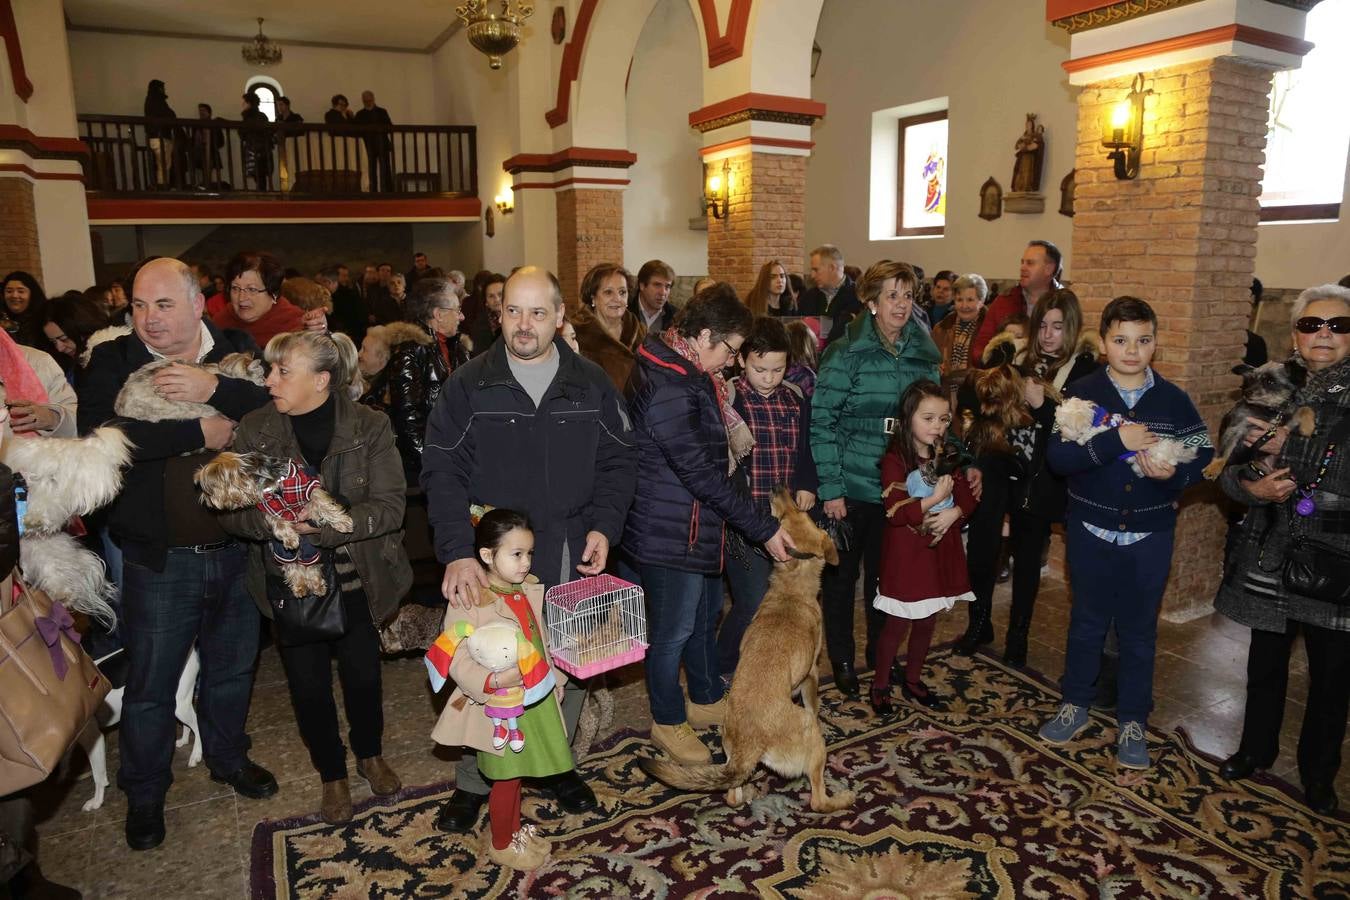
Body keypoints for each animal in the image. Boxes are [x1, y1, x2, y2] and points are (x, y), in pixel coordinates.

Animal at [76, 647, 199, 809]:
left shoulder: (93, 739)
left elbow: (98, 775)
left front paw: (96, 801)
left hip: (180, 705)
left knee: (197, 724)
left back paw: (196, 754)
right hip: (179, 703)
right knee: (188, 724)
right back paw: (184, 740)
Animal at [1058, 396, 1198, 477]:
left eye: (1065, 425)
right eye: (1059, 424)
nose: (1060, 432)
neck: (1097, 417)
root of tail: (1170, 451)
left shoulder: (1104, 427)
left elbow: (1090, 432)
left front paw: (1081, 439)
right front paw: (1066, 438)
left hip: (1158, 457)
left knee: (1170, 461)